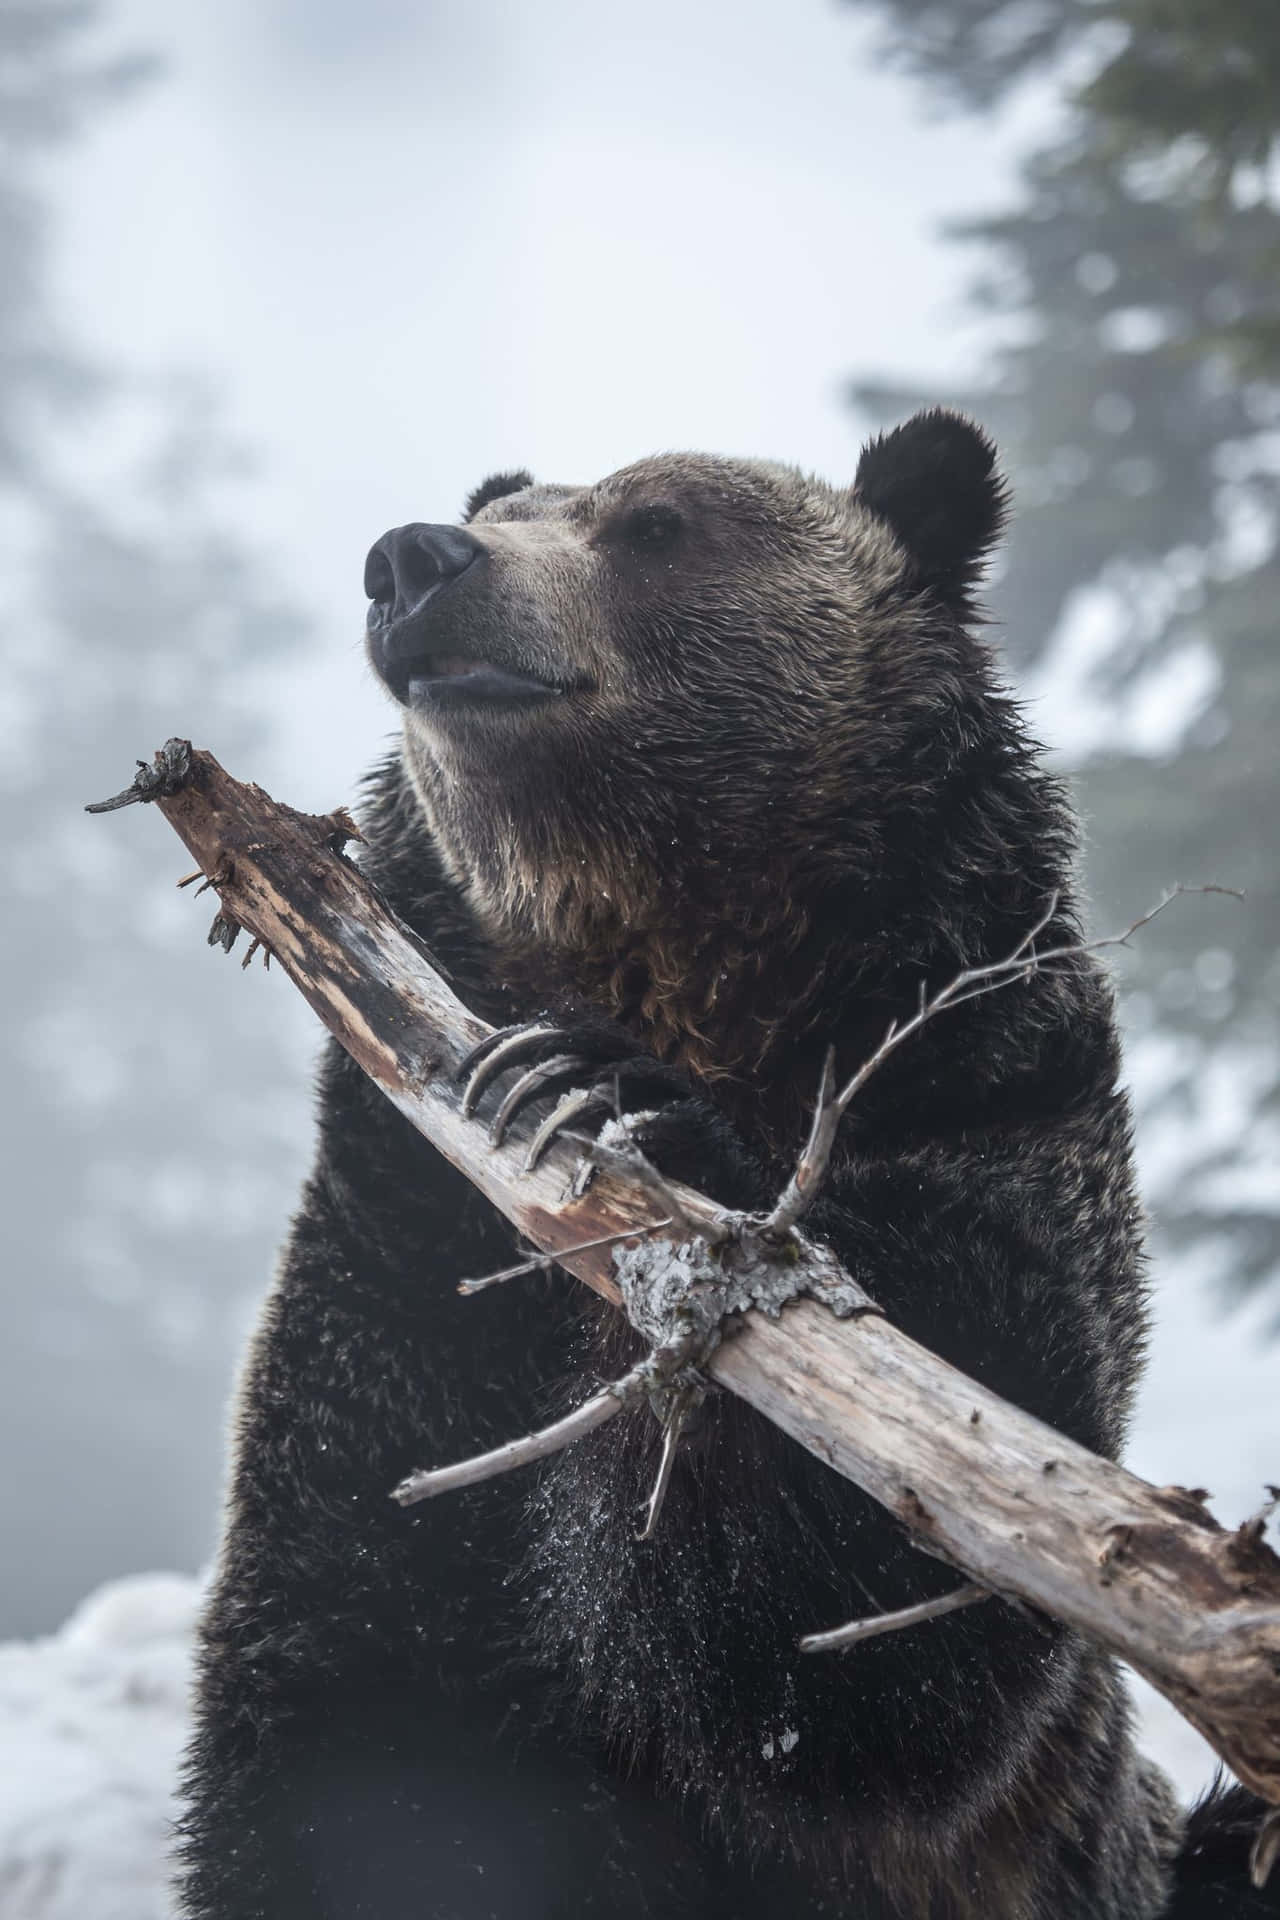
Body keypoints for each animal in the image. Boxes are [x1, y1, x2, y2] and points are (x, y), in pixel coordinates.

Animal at [176, 411, 1276, 1919]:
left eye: (655, 527)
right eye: (511, 509)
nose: (413, 559)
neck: (690, 970)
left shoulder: (982, 1089)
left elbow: (864, 1630)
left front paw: (601, 1097)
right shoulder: (403, 1267)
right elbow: (362, 1696)